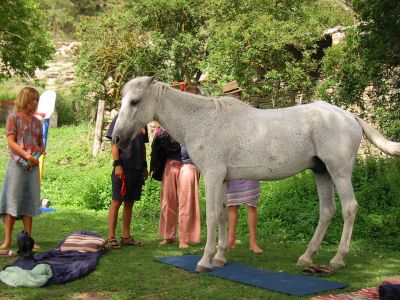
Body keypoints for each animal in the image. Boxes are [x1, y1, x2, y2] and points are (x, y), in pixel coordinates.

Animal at [110, 76, 400, 274]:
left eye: (135, 101)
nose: (116, 137)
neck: (202, 121)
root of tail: (349, 116)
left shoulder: (213, 176)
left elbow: (212, 215)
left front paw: (205, 261)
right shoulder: (223, 180)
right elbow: (223, 214)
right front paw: (220, 257)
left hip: (338, 171)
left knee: (350, 208)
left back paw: (337, 259)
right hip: (321, 172)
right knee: (327, 211)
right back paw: (307, 257)